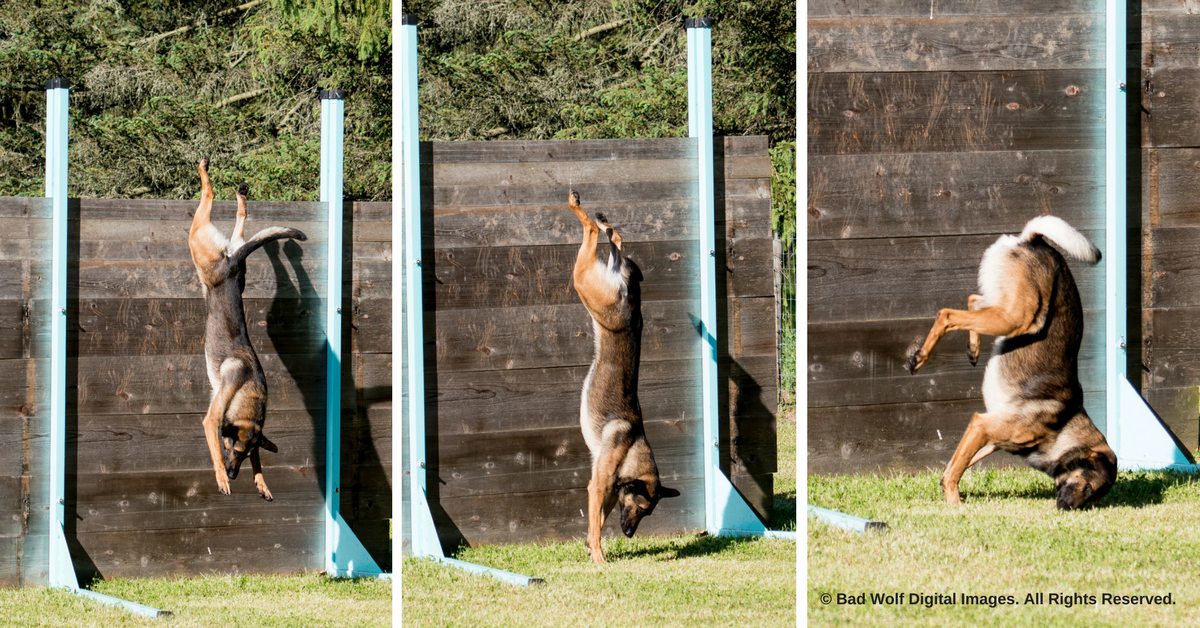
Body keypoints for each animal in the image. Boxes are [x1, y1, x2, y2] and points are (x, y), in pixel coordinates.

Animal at [188, 157, 307, 500]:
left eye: (244, 455)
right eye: (234, 449)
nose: (233, 473)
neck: (249, 392)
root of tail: (230, 266)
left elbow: (259, 462)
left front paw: (260, 481)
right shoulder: (213, 419)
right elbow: (212, 441)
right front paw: (220, 476)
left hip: (221, 253)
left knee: (239, 223)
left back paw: (240, 195)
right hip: (198, 243)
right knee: (209, 197)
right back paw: (206, 174)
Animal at [567, 190, 680, 564]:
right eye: (642, 508)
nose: (630, 534)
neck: (632, 445)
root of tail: (634, 306)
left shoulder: (608, 491)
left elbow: (597, 521)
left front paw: (591, 550)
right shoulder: (599, 485)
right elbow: (596, 525)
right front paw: (599, 558)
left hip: (593, 286)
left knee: (614, 240)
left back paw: (601, 220)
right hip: (585, 284)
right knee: (594, 234)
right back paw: (580, 208)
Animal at [906, 215, 1116, 510]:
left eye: (1093, 497)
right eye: (1087, 488)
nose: (1066, 510)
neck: (1062, 425)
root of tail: (1035, 242)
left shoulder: (989, 438)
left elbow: (958, 462)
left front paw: (946, 486)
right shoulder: (982, 425)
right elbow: (956, 470)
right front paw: (954, 502)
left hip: (1007, 307)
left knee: (973, 300)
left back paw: (973, 348)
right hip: (1018, 318)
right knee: (947, 314)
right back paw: (920, 357)